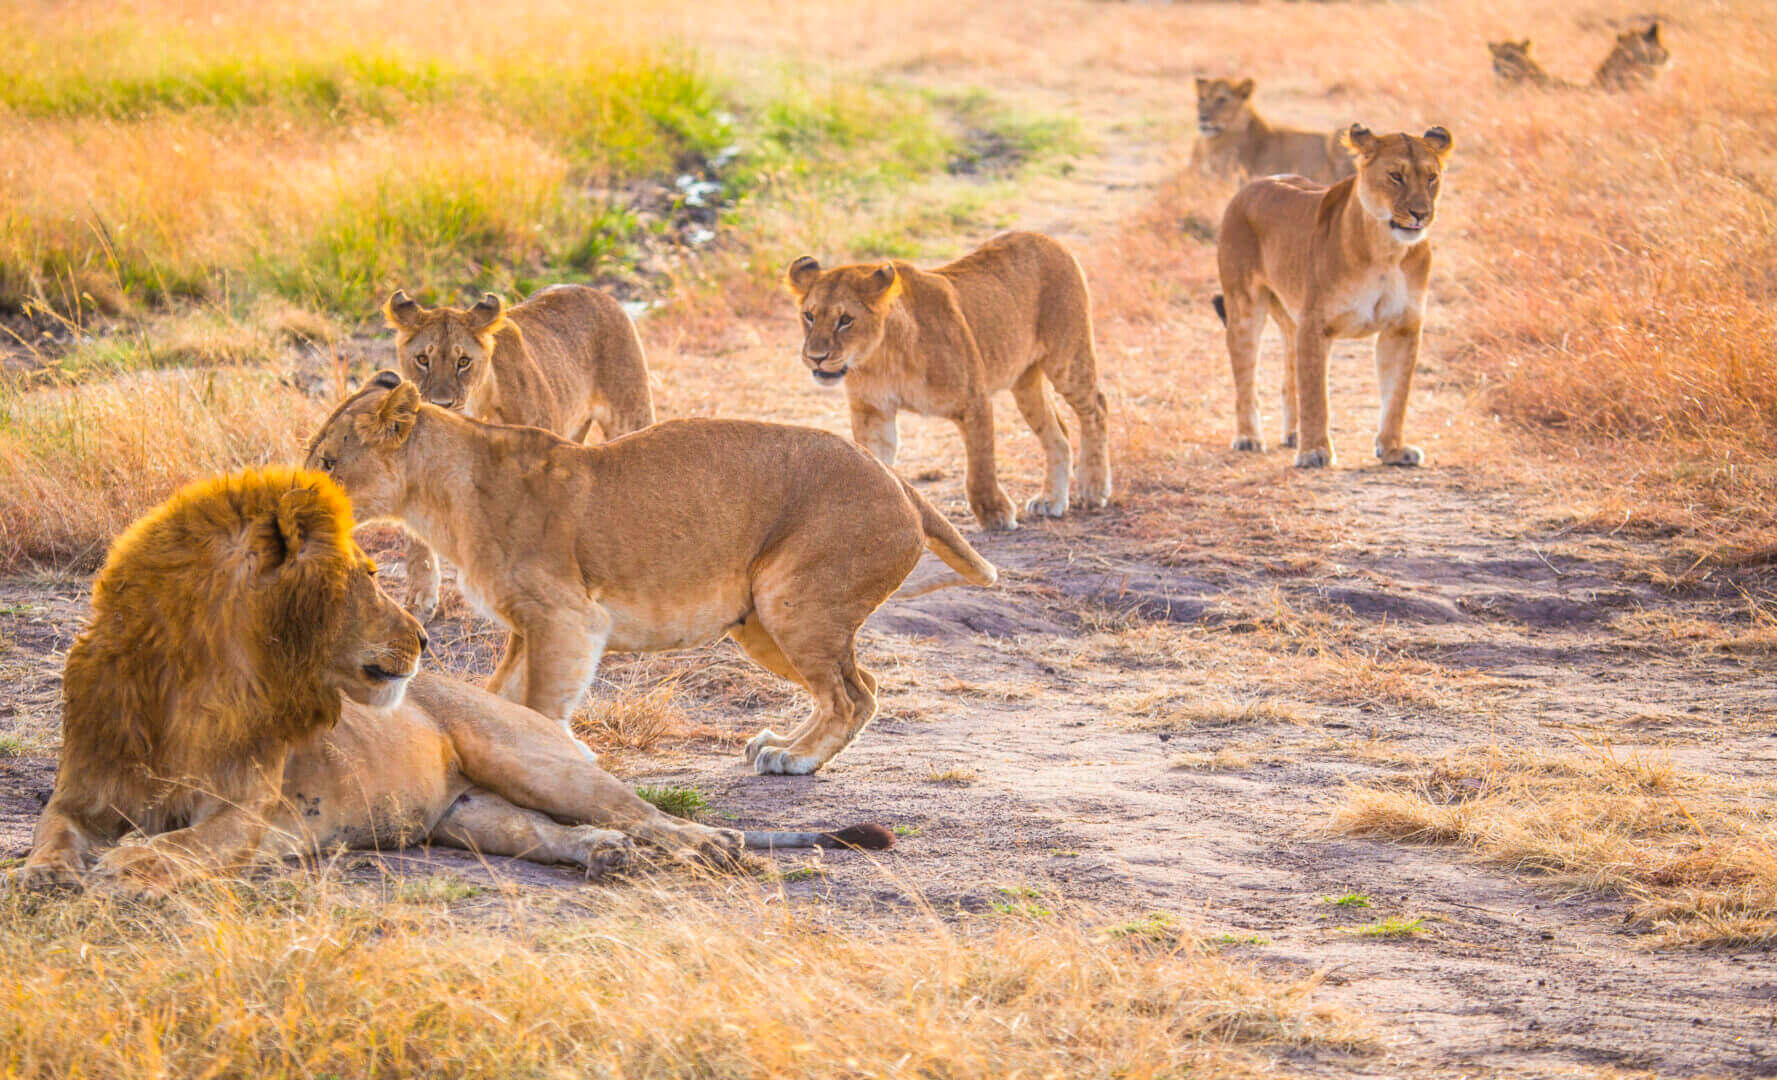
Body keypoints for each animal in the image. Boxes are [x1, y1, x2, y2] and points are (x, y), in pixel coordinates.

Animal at [21, 467, 885, 892]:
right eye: (366, 576)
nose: (426, 638)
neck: (186, 682)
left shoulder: (247, 816)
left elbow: (179, 845)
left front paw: (125, 868)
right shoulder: (80, 795)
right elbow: (49, 839)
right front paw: (47, 877)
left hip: (531, 759)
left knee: (648, 814)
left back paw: (707, 849)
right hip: (471, 816)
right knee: (554, 835)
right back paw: (610, 859)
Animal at [305, 373, 997, 776]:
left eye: (331, 461)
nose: (303, 499)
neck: (443, 495)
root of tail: (899, 484)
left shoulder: (568, 617)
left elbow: (540, 702)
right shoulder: (529, 626)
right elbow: (501, 699)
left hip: (792, 602)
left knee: (853, 694)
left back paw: (794, 759)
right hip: (760, 623)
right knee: (861, 687)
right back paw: (777, 744)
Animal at [383, 284, 656, 619]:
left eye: (464, 362)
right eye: (422, 359)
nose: (441, 404)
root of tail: (592, 290)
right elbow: (418, 542)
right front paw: (420, 600)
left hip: (631, 414)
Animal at [784, 231, 1110, 531]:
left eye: (846, 320)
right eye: (809, 315)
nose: (815, 357)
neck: (881, 357)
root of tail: (1047, 239)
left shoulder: (974, 400)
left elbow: (980, 465)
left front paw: (995, 513)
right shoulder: (873, 412)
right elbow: (875, 463)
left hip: (1067, 359)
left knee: (1097, 408)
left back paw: (1093, 487)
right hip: (1024, 381)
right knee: (1058, 433)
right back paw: (1051, 500)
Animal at [1212, 123, 1454, 469]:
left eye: (1431, 177)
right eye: (1396, 176)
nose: (1421, 213)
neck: (1386, 251)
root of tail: (1253, 184)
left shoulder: (1402, 326)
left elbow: (1397, 395)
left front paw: (1393, 450)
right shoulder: (1316, 325)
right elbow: (1317, 395)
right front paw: (1315, 452)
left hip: (1291, 318)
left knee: (1289, 375)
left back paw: (1293, 435)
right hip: (1244, 307)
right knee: (1246, 377)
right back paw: (1248, 437)